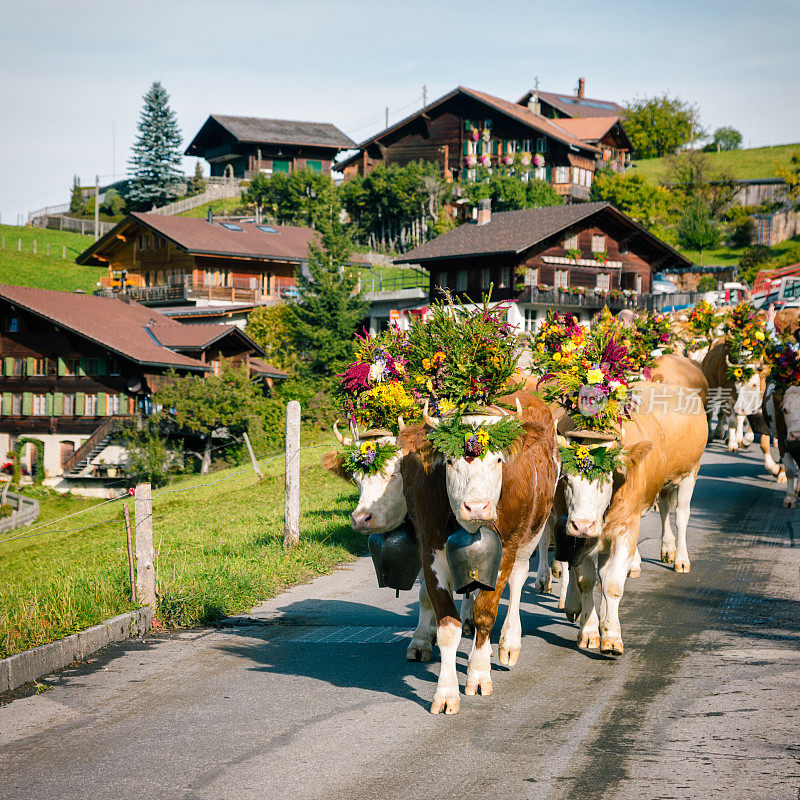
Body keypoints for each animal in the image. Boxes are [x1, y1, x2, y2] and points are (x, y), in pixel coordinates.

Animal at [398, 390, 560, 716]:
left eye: (497, 459)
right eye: (449, 461)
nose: (476, 507)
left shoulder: (506, 548)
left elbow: (487, 613)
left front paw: (479, 675)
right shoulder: (431, 551)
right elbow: (448, 626)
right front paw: (446, 693)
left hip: (531, 533)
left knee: (519, 580)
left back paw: (509, 642)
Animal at [556, 376, 708, 656]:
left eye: (606, 480)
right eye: (567, 479)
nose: (583, 525)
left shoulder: (627, 527)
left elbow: (613, 584)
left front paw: (612, 637)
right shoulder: (575, 530)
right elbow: (586, 580)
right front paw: (590, 630)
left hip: (690, 472)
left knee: (681, 515)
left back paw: (680, 558)